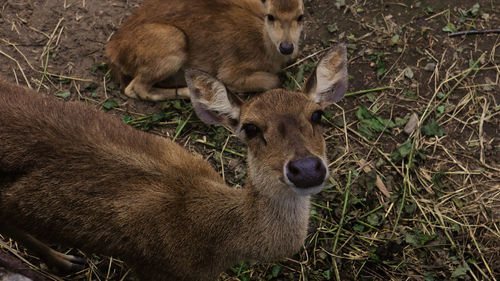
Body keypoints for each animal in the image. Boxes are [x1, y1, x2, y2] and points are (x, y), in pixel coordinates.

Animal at [105, 0, 304, 100]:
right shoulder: (231, 69)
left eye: (301, 16)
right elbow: (274, 80)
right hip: (173, 42)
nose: (287, 47)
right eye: (270, 16)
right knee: (135, 89)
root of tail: (113, 50)